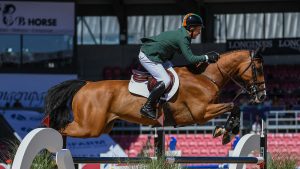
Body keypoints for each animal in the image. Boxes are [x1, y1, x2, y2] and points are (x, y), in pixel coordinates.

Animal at [43, 49, 266, 145]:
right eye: (258, 68)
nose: (262, 96)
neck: (205, 76)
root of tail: (86, 84)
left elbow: (234, 108)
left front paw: (227, 131)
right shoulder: (201, 113)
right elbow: (233, 106)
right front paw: (225, 131)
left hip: (102, 126)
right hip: (89, 127)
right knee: (58, 129)